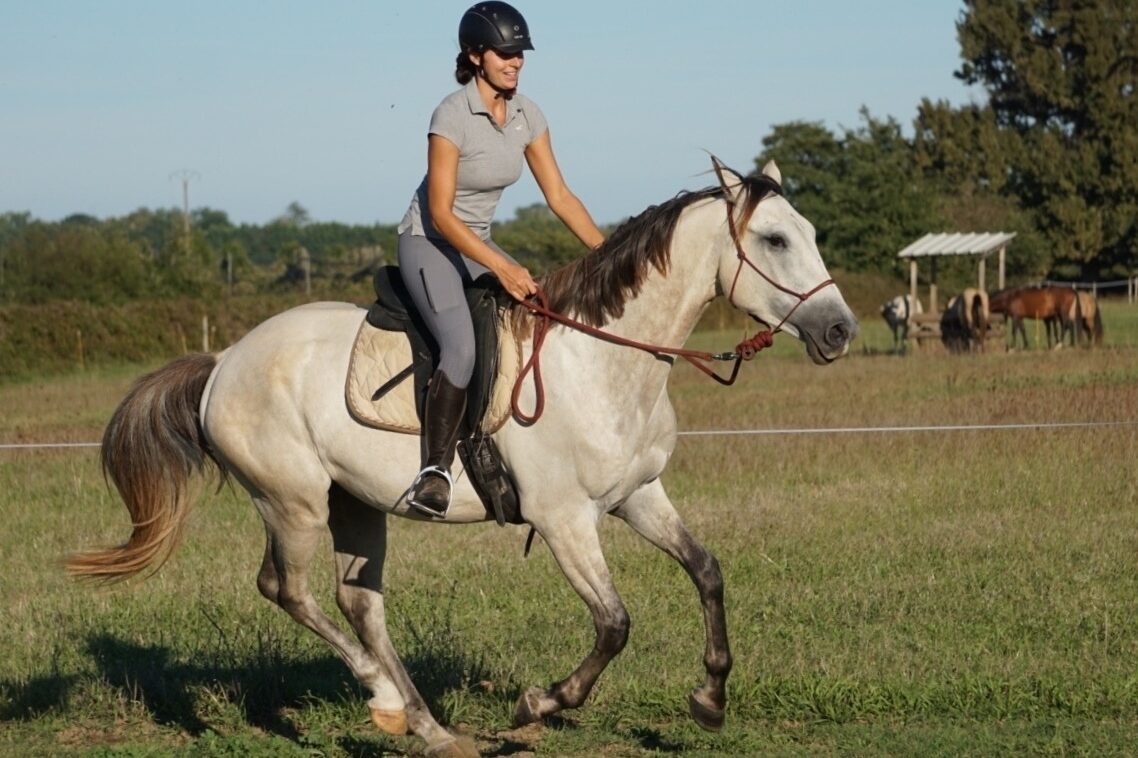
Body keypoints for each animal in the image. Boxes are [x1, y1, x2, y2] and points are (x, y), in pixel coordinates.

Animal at [68, 155, 855, 751]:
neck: (603, 362)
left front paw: (711, 698)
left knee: (360, 602)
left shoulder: (637, 496)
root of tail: (223, 360)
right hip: (291, 502)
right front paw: (539, 703)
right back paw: (384, 698)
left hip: (355, 503)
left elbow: (707, 571)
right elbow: (614, 623)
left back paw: (429, 727)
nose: (840, 330)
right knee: (286, 590)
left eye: (808, 233)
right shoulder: (566, 520)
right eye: (777, 240)